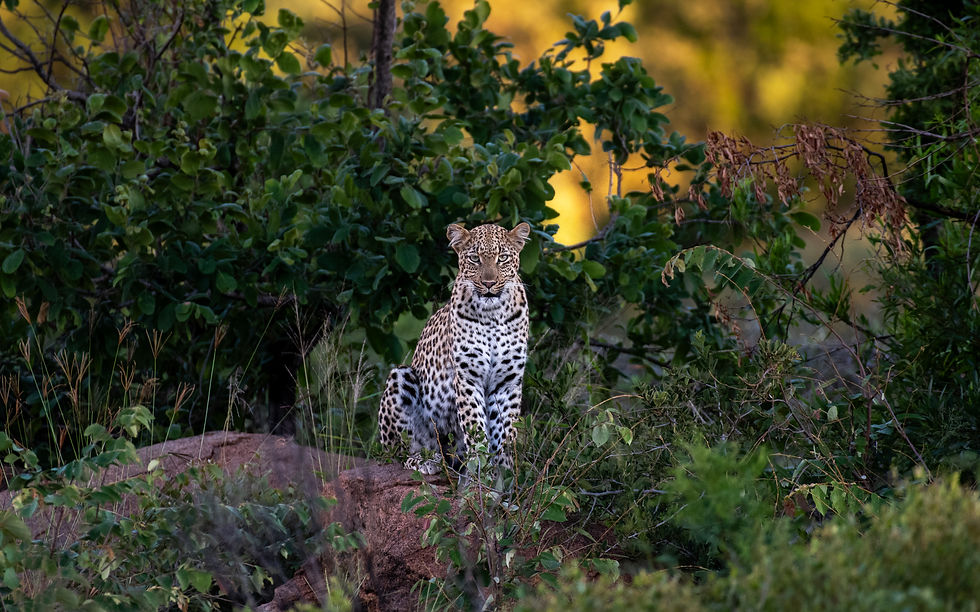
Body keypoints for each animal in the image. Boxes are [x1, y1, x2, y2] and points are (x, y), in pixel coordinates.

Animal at [377, 221, 531, 476]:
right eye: (474, 258)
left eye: (503, 258)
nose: (489, 284)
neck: (493, 315)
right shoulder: (468, 377)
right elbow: (475, 427)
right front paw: (481, 470)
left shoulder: (507, 382)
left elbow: (505, 434)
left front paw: (504, 474)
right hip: (400, 377)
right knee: (398, 453)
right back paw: (425, 461)